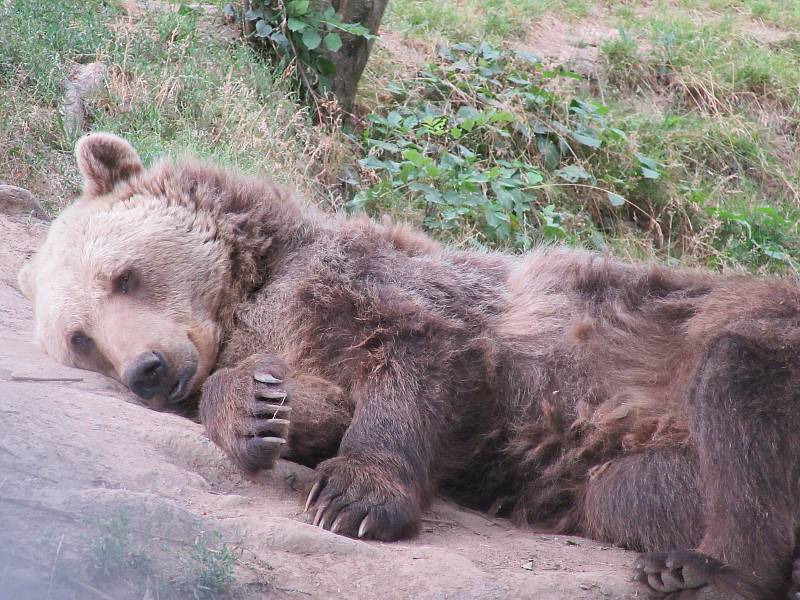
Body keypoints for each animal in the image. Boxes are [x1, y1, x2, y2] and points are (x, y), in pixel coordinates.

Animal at [17, 134, 800, 596]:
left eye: (125, 275)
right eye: (81, 338)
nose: (146, 369)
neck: (258, 289)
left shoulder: (384, 287)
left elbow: (420, 356)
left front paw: (352, 499)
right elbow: (312, 401)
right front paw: (255, 411)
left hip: (732, 324)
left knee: (736, 382)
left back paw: (708, 569)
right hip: (638, 468)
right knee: (631, 489)